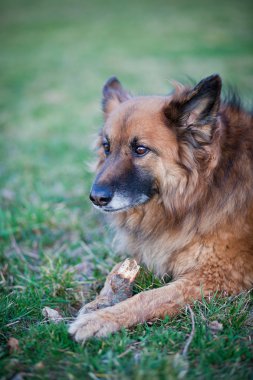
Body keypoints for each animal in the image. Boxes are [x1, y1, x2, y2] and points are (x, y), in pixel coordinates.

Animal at [68, 74, 253, 342]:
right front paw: (100, 302)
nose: (96, 198)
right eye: (106, 147)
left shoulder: (217, 274)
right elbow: (117, 269)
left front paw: (101, 319)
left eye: (140, 150)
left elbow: (149, 297)